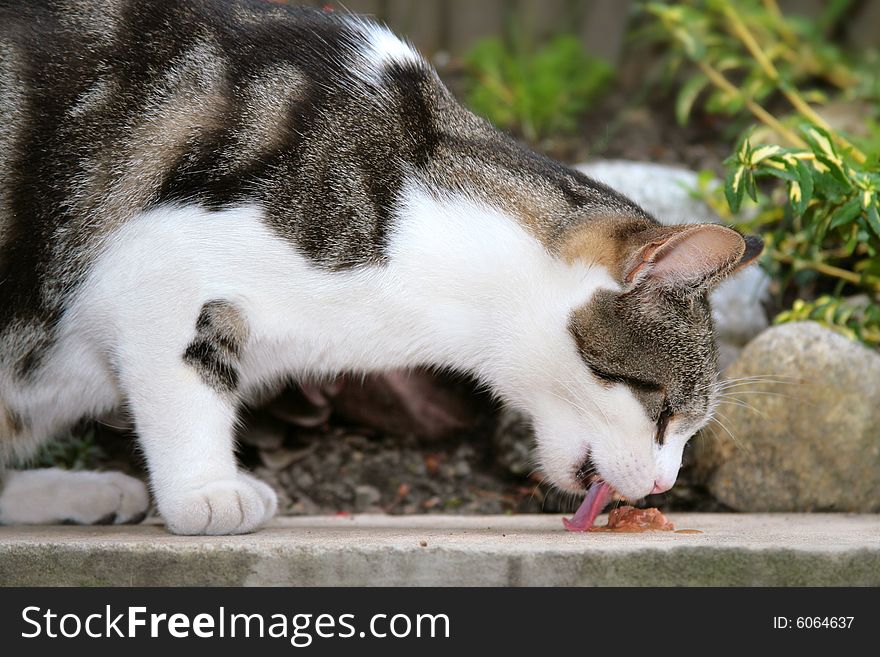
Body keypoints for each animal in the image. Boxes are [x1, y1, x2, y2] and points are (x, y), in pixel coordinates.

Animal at [0, 0, 760, 532]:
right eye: (665, 411)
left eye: (687, 429)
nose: (664, 485)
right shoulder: (155, 271)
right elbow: (185, 380)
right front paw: (204, 493)